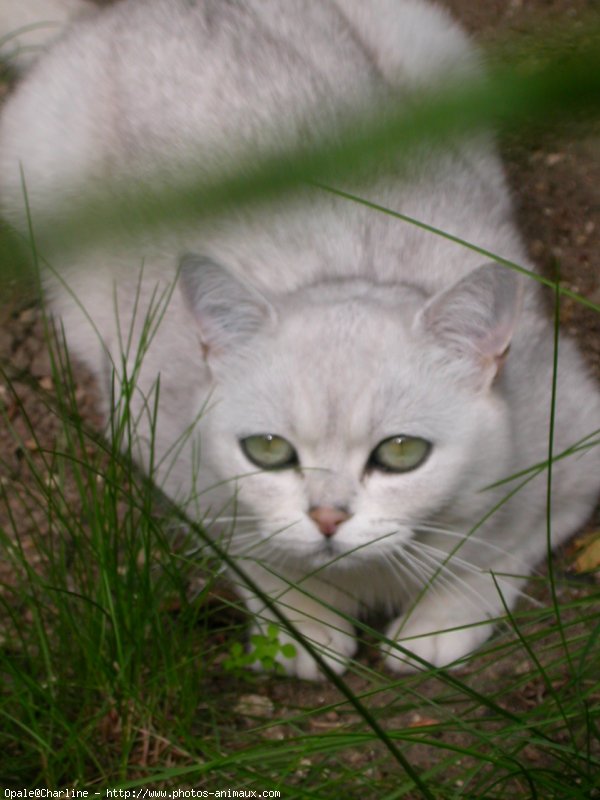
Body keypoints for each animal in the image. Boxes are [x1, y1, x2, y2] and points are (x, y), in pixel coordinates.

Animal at [1, 0, 600, 680]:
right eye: (268, 450)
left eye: (401, 452)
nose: (327, 517)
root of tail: (125, 13)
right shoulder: (170, 450)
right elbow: (260, 562)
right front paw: (307, 628)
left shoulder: (573, 451)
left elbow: (496, 557)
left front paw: (434, 625)